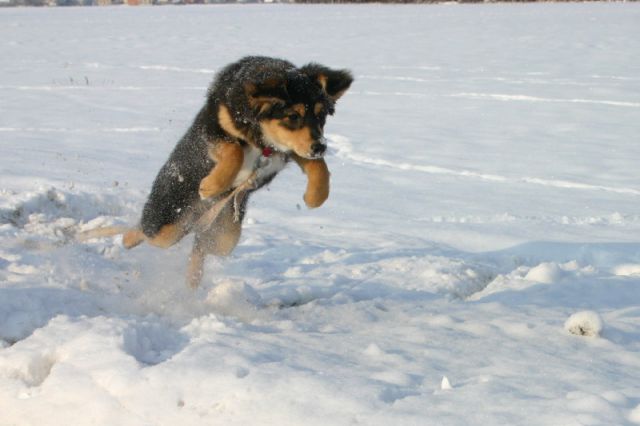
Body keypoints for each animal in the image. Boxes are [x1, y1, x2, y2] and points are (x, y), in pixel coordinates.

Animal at [82, 56, 352, 288]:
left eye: (321, 115)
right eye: (293, 115)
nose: (320, 146)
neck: (261, 137)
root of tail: (195, 219)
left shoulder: (287, 148)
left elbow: (319, 166)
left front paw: (315, 197)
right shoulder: (214, 128)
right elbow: (235, 150)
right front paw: (212, 185)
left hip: (225, 235)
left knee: (200, 246)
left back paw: (192, 280)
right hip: (168, 223)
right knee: (142, 231)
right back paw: (117, 238)